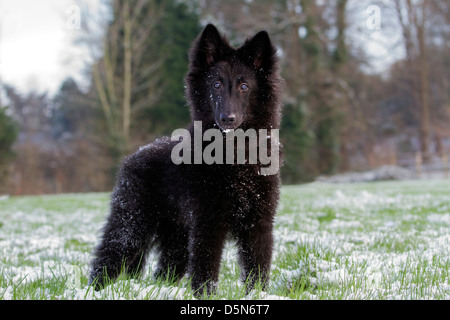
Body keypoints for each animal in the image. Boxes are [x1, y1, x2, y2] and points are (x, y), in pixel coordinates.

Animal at [89, 23, 284, 296]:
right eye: (216, 84)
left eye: (244, 86)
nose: (227, 118)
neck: (234, 155)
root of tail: (137, 153)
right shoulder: (207, 222)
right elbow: (205, 269)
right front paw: (206, 296)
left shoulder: (258, 222)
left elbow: (257, 268)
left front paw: (258, 294)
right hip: (131, 223)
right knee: (107, 257)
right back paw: (95, 290)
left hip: (177, 237)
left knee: (164, 271)